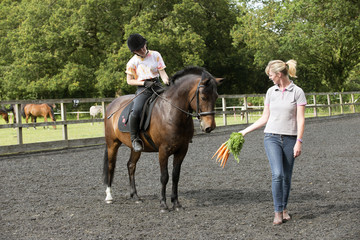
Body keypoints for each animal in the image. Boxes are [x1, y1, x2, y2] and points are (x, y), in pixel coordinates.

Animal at [102, 66, 224, 211]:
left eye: (216, 96)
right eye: (204, 97)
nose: (209, 127)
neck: (171, 111)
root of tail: (111, 105)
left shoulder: (182, 150)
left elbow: (176, 176)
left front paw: (176, 203)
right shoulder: (163, 151)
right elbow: (164, 176)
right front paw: (163, 204)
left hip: (135, 148)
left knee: (131, 165)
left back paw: (135, 196)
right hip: (112, 143)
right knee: (110, 166)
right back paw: (109, 196)